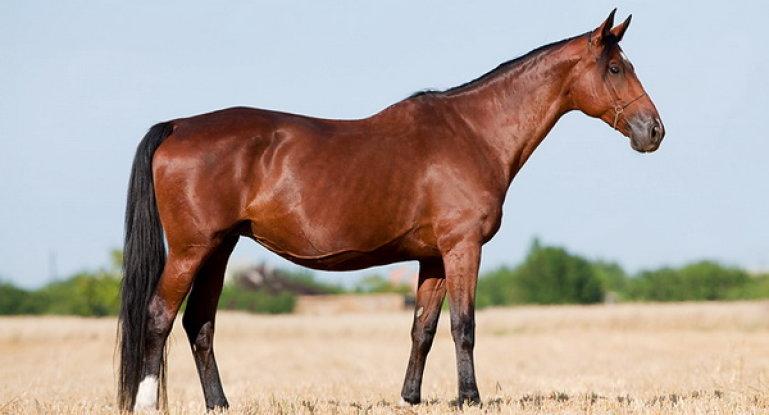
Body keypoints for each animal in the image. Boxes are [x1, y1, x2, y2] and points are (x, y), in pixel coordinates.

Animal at [118, 9, 664, 411]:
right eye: (616, 68)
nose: (654, 130)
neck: (473, 132)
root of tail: (179, 125)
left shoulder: (433, 257)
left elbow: (423, 329)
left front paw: (410, 398)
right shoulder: (462, 247)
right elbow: (464, 326)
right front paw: (470, 398)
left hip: (220, 249)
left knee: (199, 324)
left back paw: (220, 404)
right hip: (192, 250)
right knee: (159, 316)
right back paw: (146, 403)